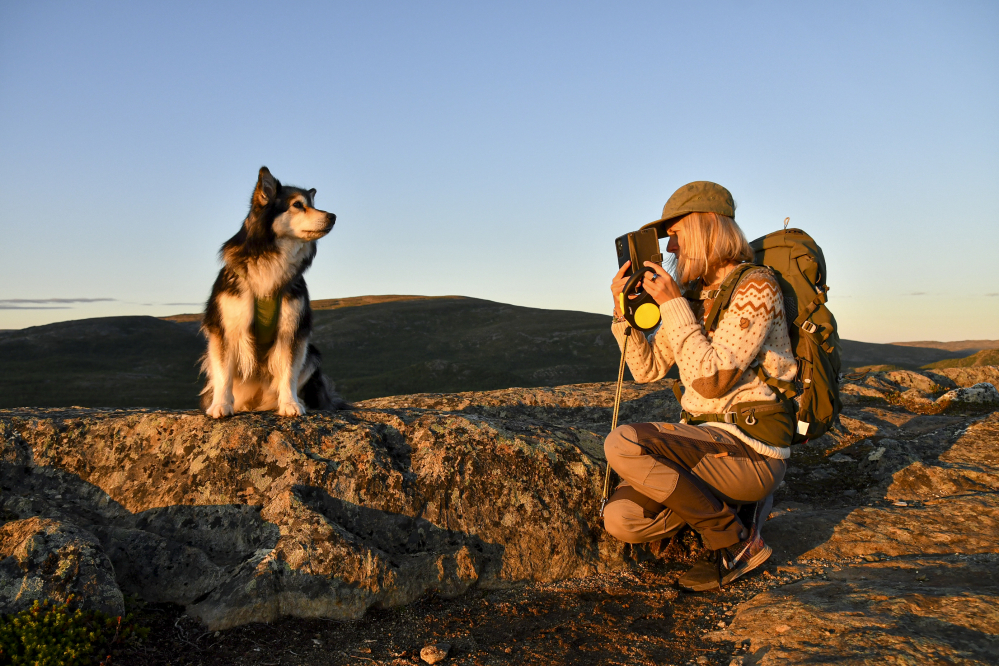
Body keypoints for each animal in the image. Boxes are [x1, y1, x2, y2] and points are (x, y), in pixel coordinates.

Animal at [199, 166, 348, 416]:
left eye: (312, 203)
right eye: (297, 204)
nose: (333, 216)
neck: (272, 258)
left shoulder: (292, 328)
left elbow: (287, 372)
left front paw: (290, 404)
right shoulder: (226, 327)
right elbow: (224, 373)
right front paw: (221, 405)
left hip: (312, 355)